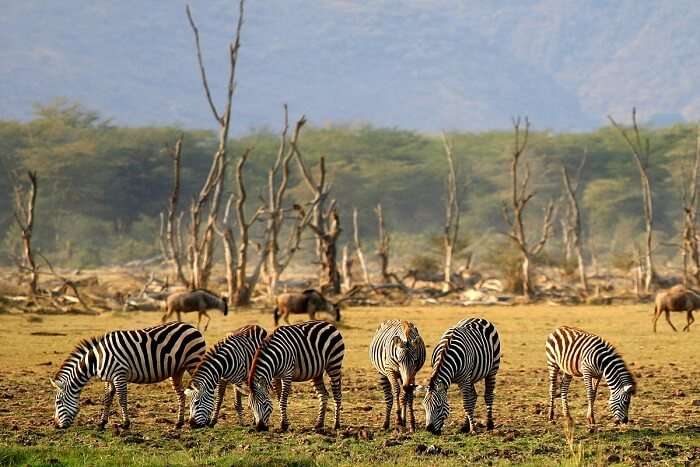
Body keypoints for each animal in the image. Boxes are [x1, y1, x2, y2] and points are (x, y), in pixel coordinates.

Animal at [50, 324, 205, 430]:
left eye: (58, 402)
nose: (56, 425)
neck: (96, 360)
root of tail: (191, 326)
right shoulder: (109, 379)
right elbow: (107, 399)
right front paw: (102, 422)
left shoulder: (119, 375)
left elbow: (122, 399)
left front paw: (125, 423)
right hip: (177, 371)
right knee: (181, 395)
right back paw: (179, 423)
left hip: (194, 362)